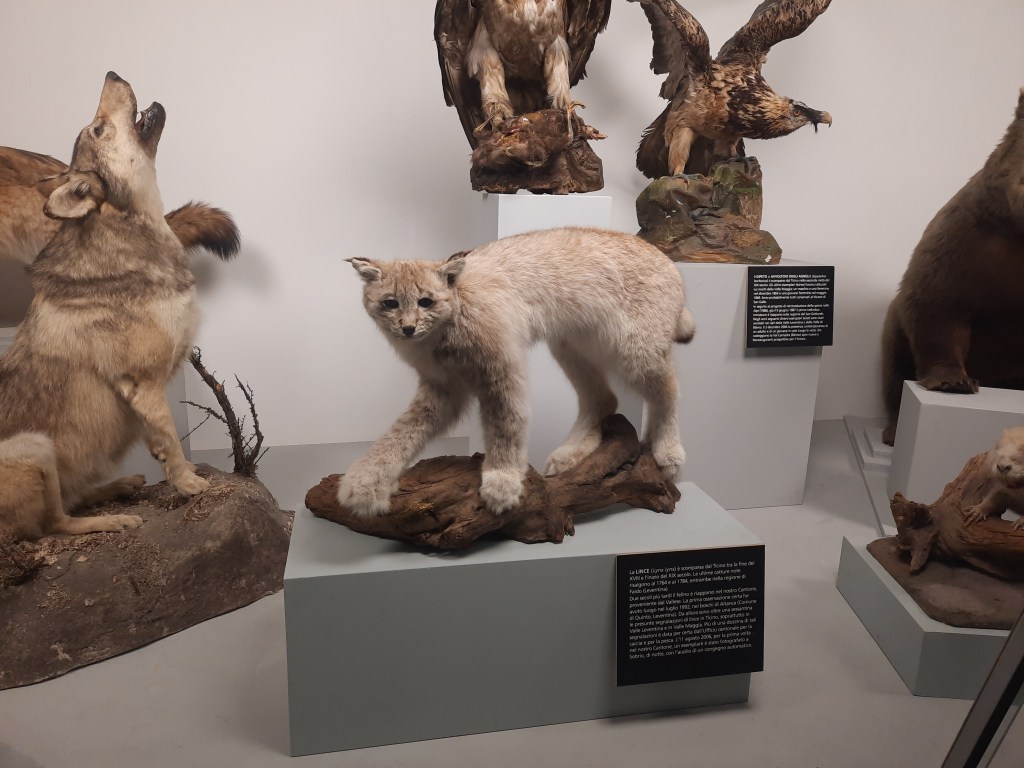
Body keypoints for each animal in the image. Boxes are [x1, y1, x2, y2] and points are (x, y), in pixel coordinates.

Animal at [0, 72, 214, 541]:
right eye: (97, 130)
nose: (112, 73)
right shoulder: (144, 384)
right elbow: (171, 437)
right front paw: (189, 484)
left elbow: (160, 443)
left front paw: (180, 474)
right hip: (34, 445)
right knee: (56, 523)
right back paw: (115, 518)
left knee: (67, 504)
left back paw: (120, 486)